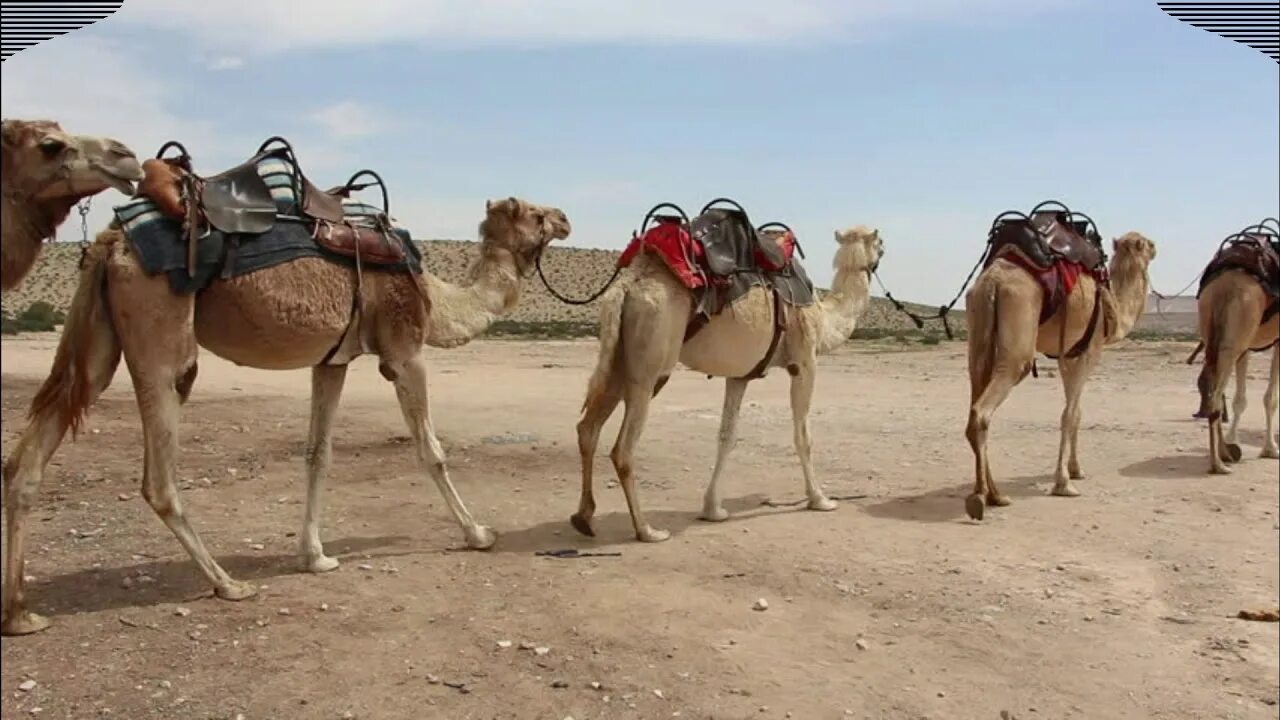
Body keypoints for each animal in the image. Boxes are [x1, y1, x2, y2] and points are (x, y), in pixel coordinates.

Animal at [0, 192, 570, 632]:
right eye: (535, 213)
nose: (566, 218)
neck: (436, 294)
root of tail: (110, 241)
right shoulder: (404, 349)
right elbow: (431, 450)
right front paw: (478, 534)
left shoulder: (333, 360)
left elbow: (319, 454)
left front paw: (315, 556)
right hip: (159, 330)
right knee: (158, 472)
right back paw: (228, 584)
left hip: (100, 338)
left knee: (31, 453)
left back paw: (20, 613)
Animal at [570, 222, 880, 538]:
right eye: (880, 242)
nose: (881, 253)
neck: (825, 315)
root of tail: (627, 285)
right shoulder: (805, 361)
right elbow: (803, 436)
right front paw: (820, 499)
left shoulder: (740, 375)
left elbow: (727, 436)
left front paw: (713, 510)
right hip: (652, 356)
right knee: (623, 448)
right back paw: (647, 530)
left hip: (619, 355)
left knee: (588, 428)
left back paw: (584, 518)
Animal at [962, 229, 1162, 515]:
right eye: (1148, 244)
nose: (1157, 248)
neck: (1112, 305)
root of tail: (993, 280)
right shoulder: (1088, 352)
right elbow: (1069, 414)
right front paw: (1064, 483)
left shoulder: (1067, 355)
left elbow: (1076, 413)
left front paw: (1076, 470)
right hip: (1019, 328)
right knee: (982, 410)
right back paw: (985, 497)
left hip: (977, 327)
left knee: (974, 400)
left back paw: (994, 495)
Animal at [1187, 225, 1280, 471]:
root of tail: (1225, 284)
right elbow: (1271, 399)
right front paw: (1271, 449)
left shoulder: (1248, 347)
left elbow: (1240, 400)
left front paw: (1233, 440)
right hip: (1234, 338)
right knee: (1216, 395)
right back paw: (1218, 464)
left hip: (1212, 324)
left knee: (1211, 384)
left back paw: (1225, 453)